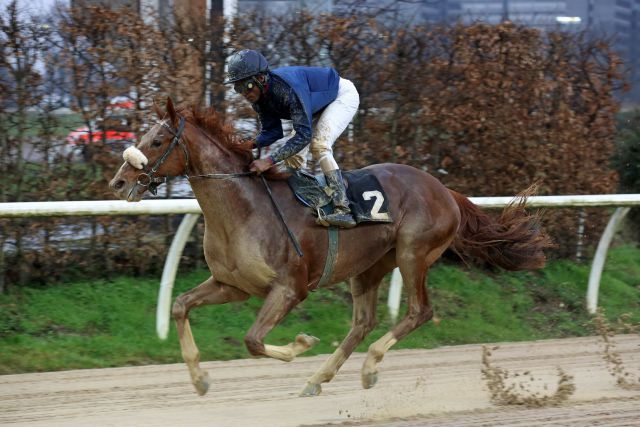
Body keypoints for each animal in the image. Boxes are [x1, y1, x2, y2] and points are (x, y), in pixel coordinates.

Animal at [107, 98, 548, 398]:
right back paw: (318, 378)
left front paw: (302, 344)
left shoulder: (289, 288)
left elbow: (252, 340)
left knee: (420, 311)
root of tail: (444, 189)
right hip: (369, 265)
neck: (245, 208)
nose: (119, 182)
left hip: (414, 253)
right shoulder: (232, 285)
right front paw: (200, 379)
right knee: (363, 322)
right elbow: (180, 306)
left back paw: (369, 366)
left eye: (158, 140)